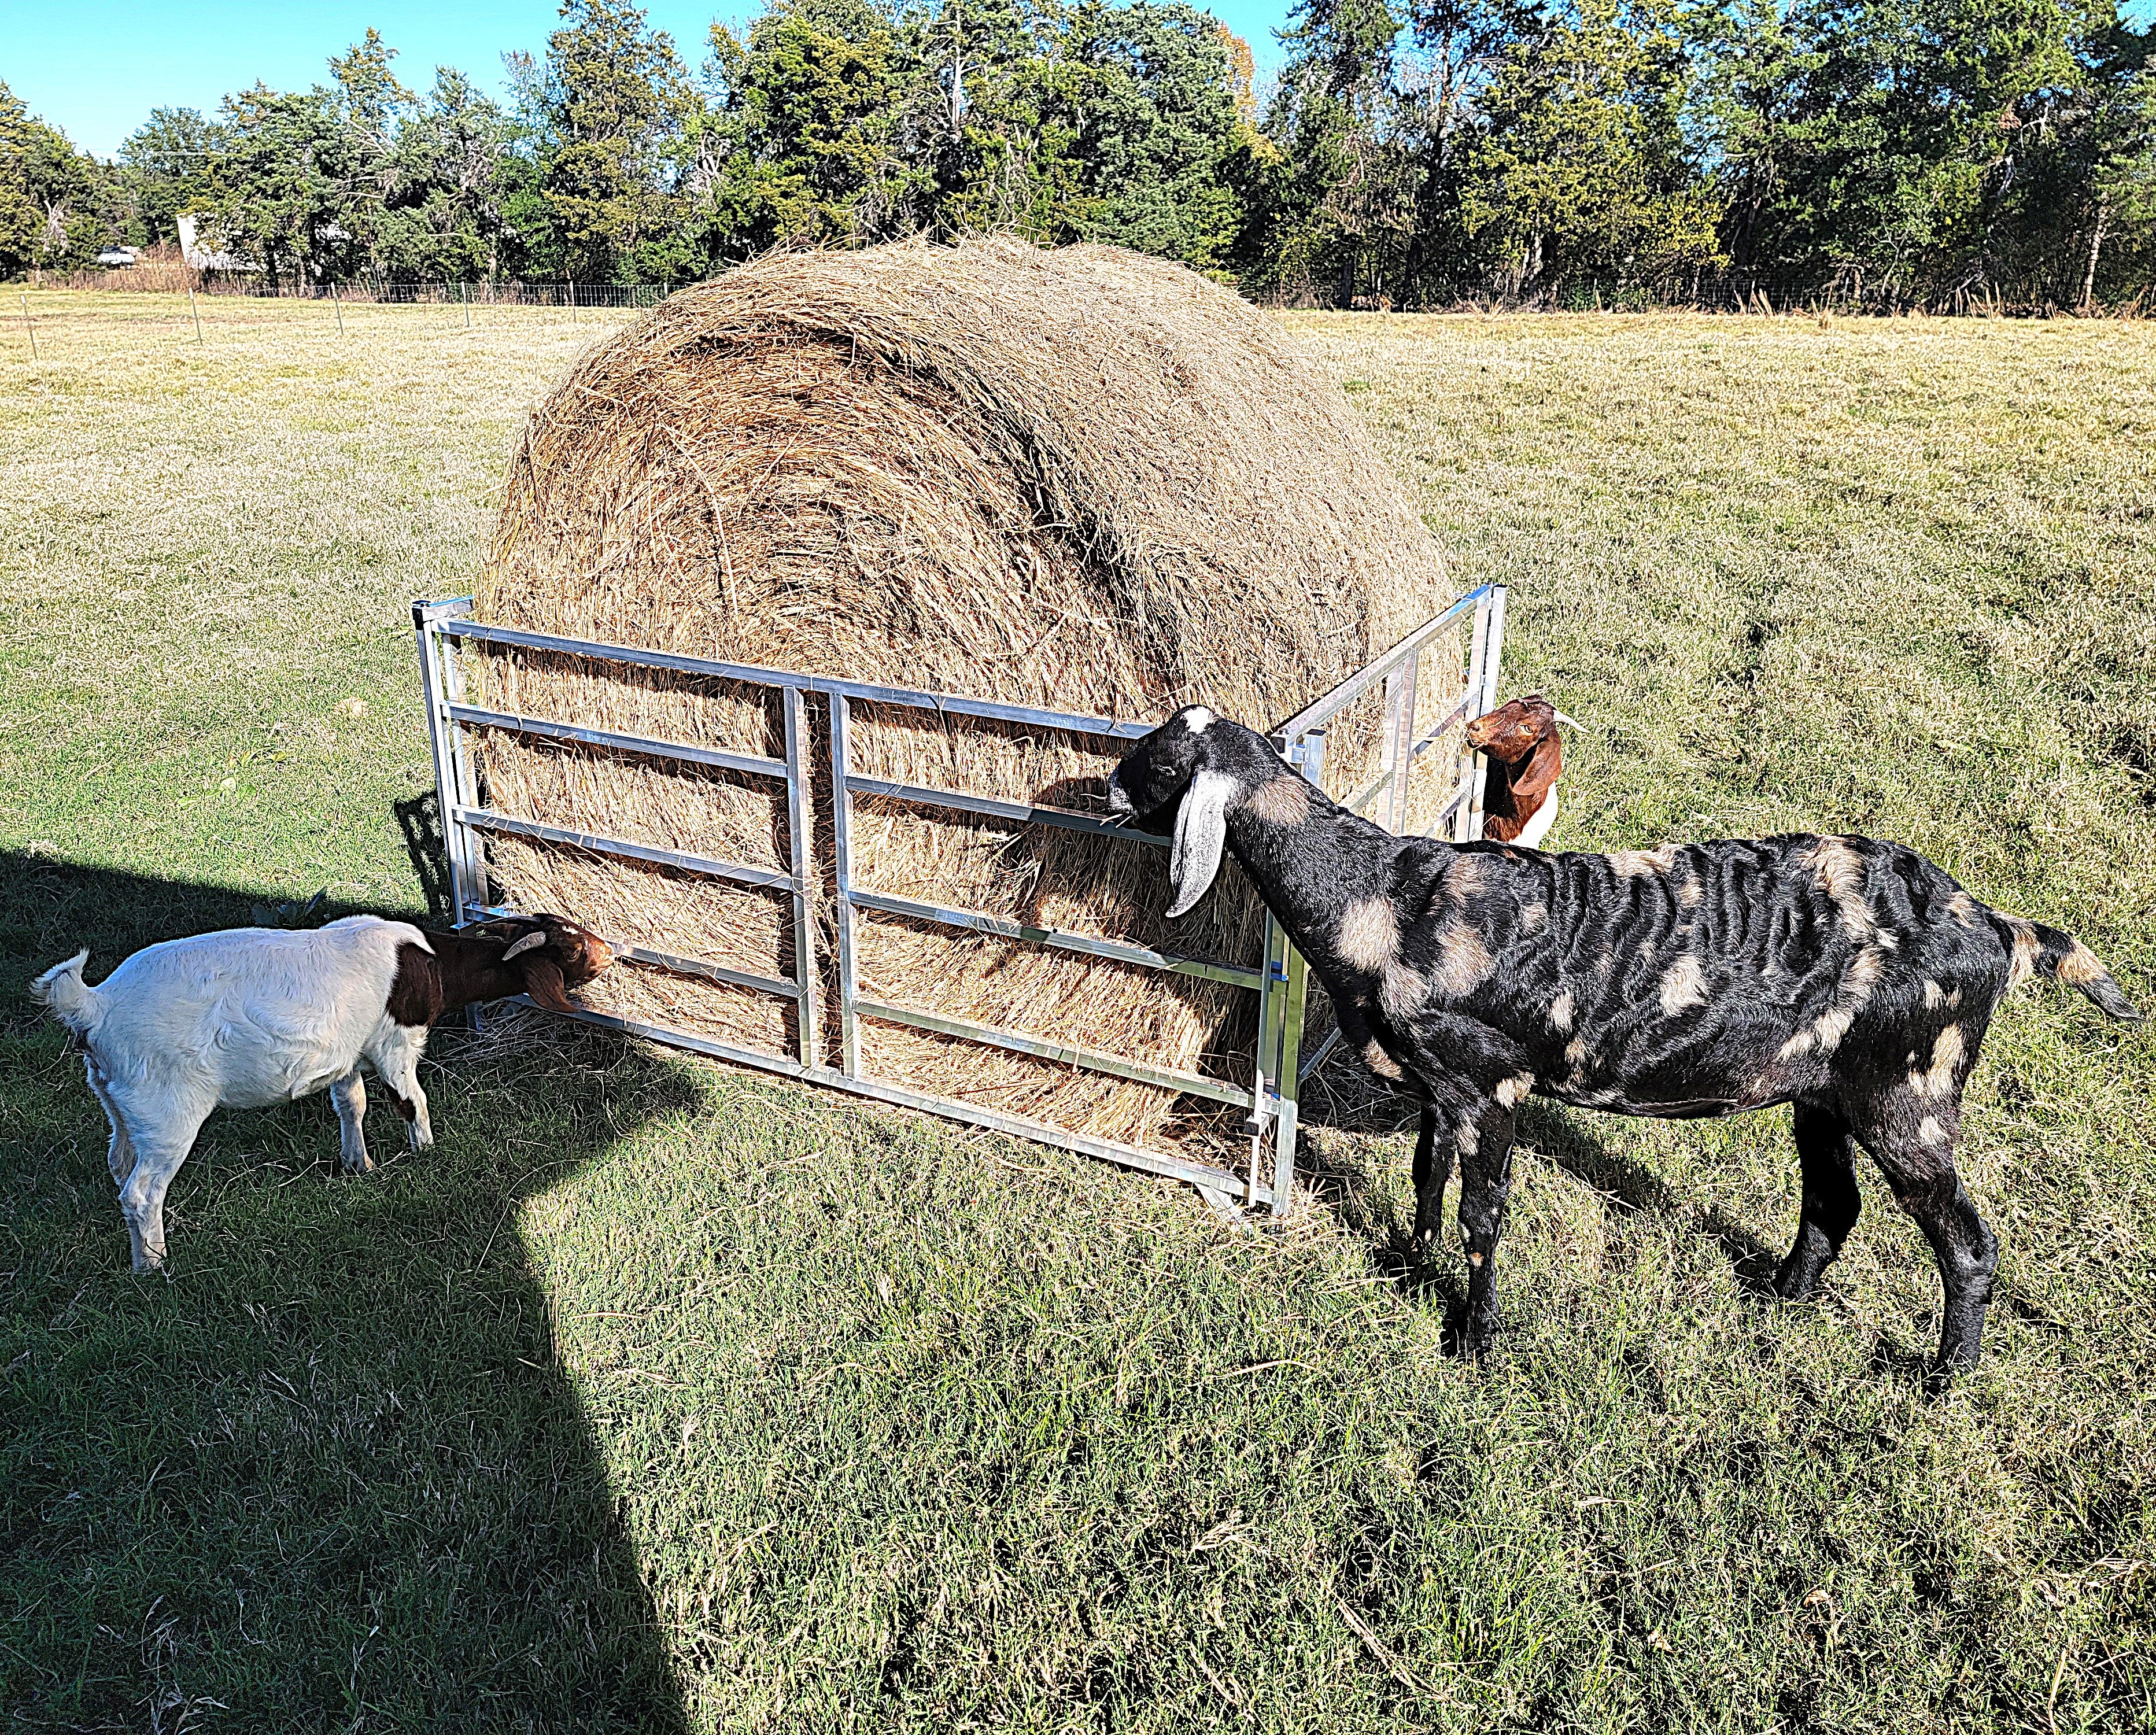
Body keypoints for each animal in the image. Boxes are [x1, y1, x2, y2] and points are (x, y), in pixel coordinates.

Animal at [29, 913, 612, 1272]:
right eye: (573, 947)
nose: (609, 951)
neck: (428, 961)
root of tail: (95, 1005)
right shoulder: (394, 1042)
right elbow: (411, 1100)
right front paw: (425, 1153)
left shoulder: (345, 1056)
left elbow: (351, 1104)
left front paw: (361, 1165)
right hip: (166, 1110)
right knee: (142, 1190)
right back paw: (154, 1265)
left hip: (119, 1100)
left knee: (118, 1161)